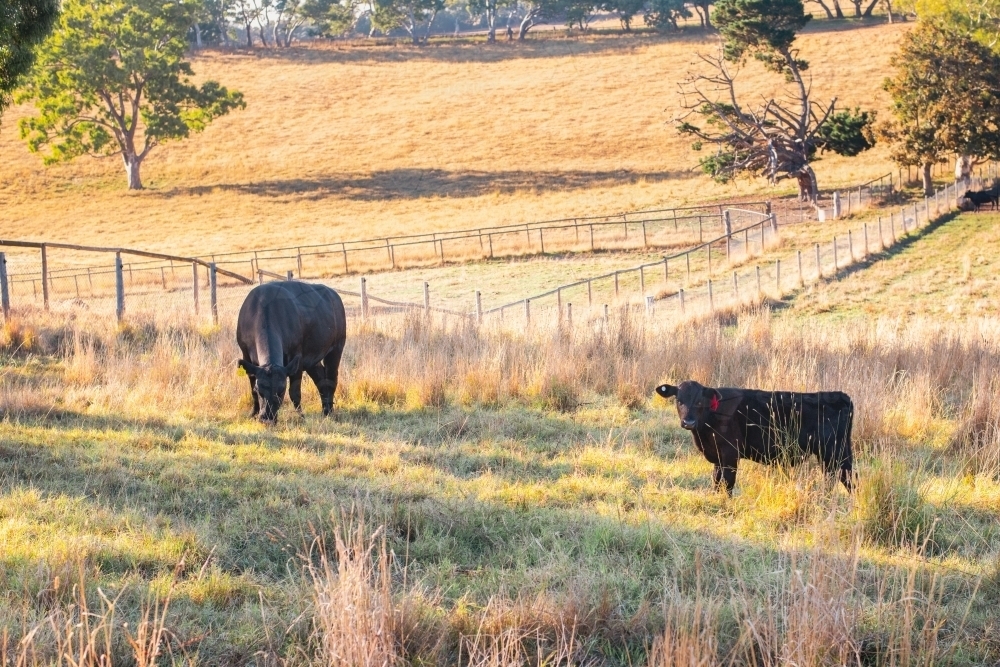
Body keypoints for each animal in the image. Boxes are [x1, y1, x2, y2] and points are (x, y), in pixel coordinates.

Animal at [235, 282, 348, 422]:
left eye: (281, 390)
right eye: (259, 389)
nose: (267, 417)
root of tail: (333, 294)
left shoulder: (296, 357)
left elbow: (295, 392)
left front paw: (301, 416)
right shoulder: (246, 356)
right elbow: (252, 390)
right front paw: (253, 413)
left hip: (336, 348)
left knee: (331, 379)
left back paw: (329, 411)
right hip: (311, 359)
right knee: (321, 380)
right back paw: (325, 410)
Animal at [652, 380, 856, 496]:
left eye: (700, 401)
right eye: (679, 400)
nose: (688, 422)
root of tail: (841, 396)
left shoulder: (730, 455)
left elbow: (727, 483)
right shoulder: (718, 457)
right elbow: (716, 481)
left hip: (833, 453)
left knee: (840, 479)